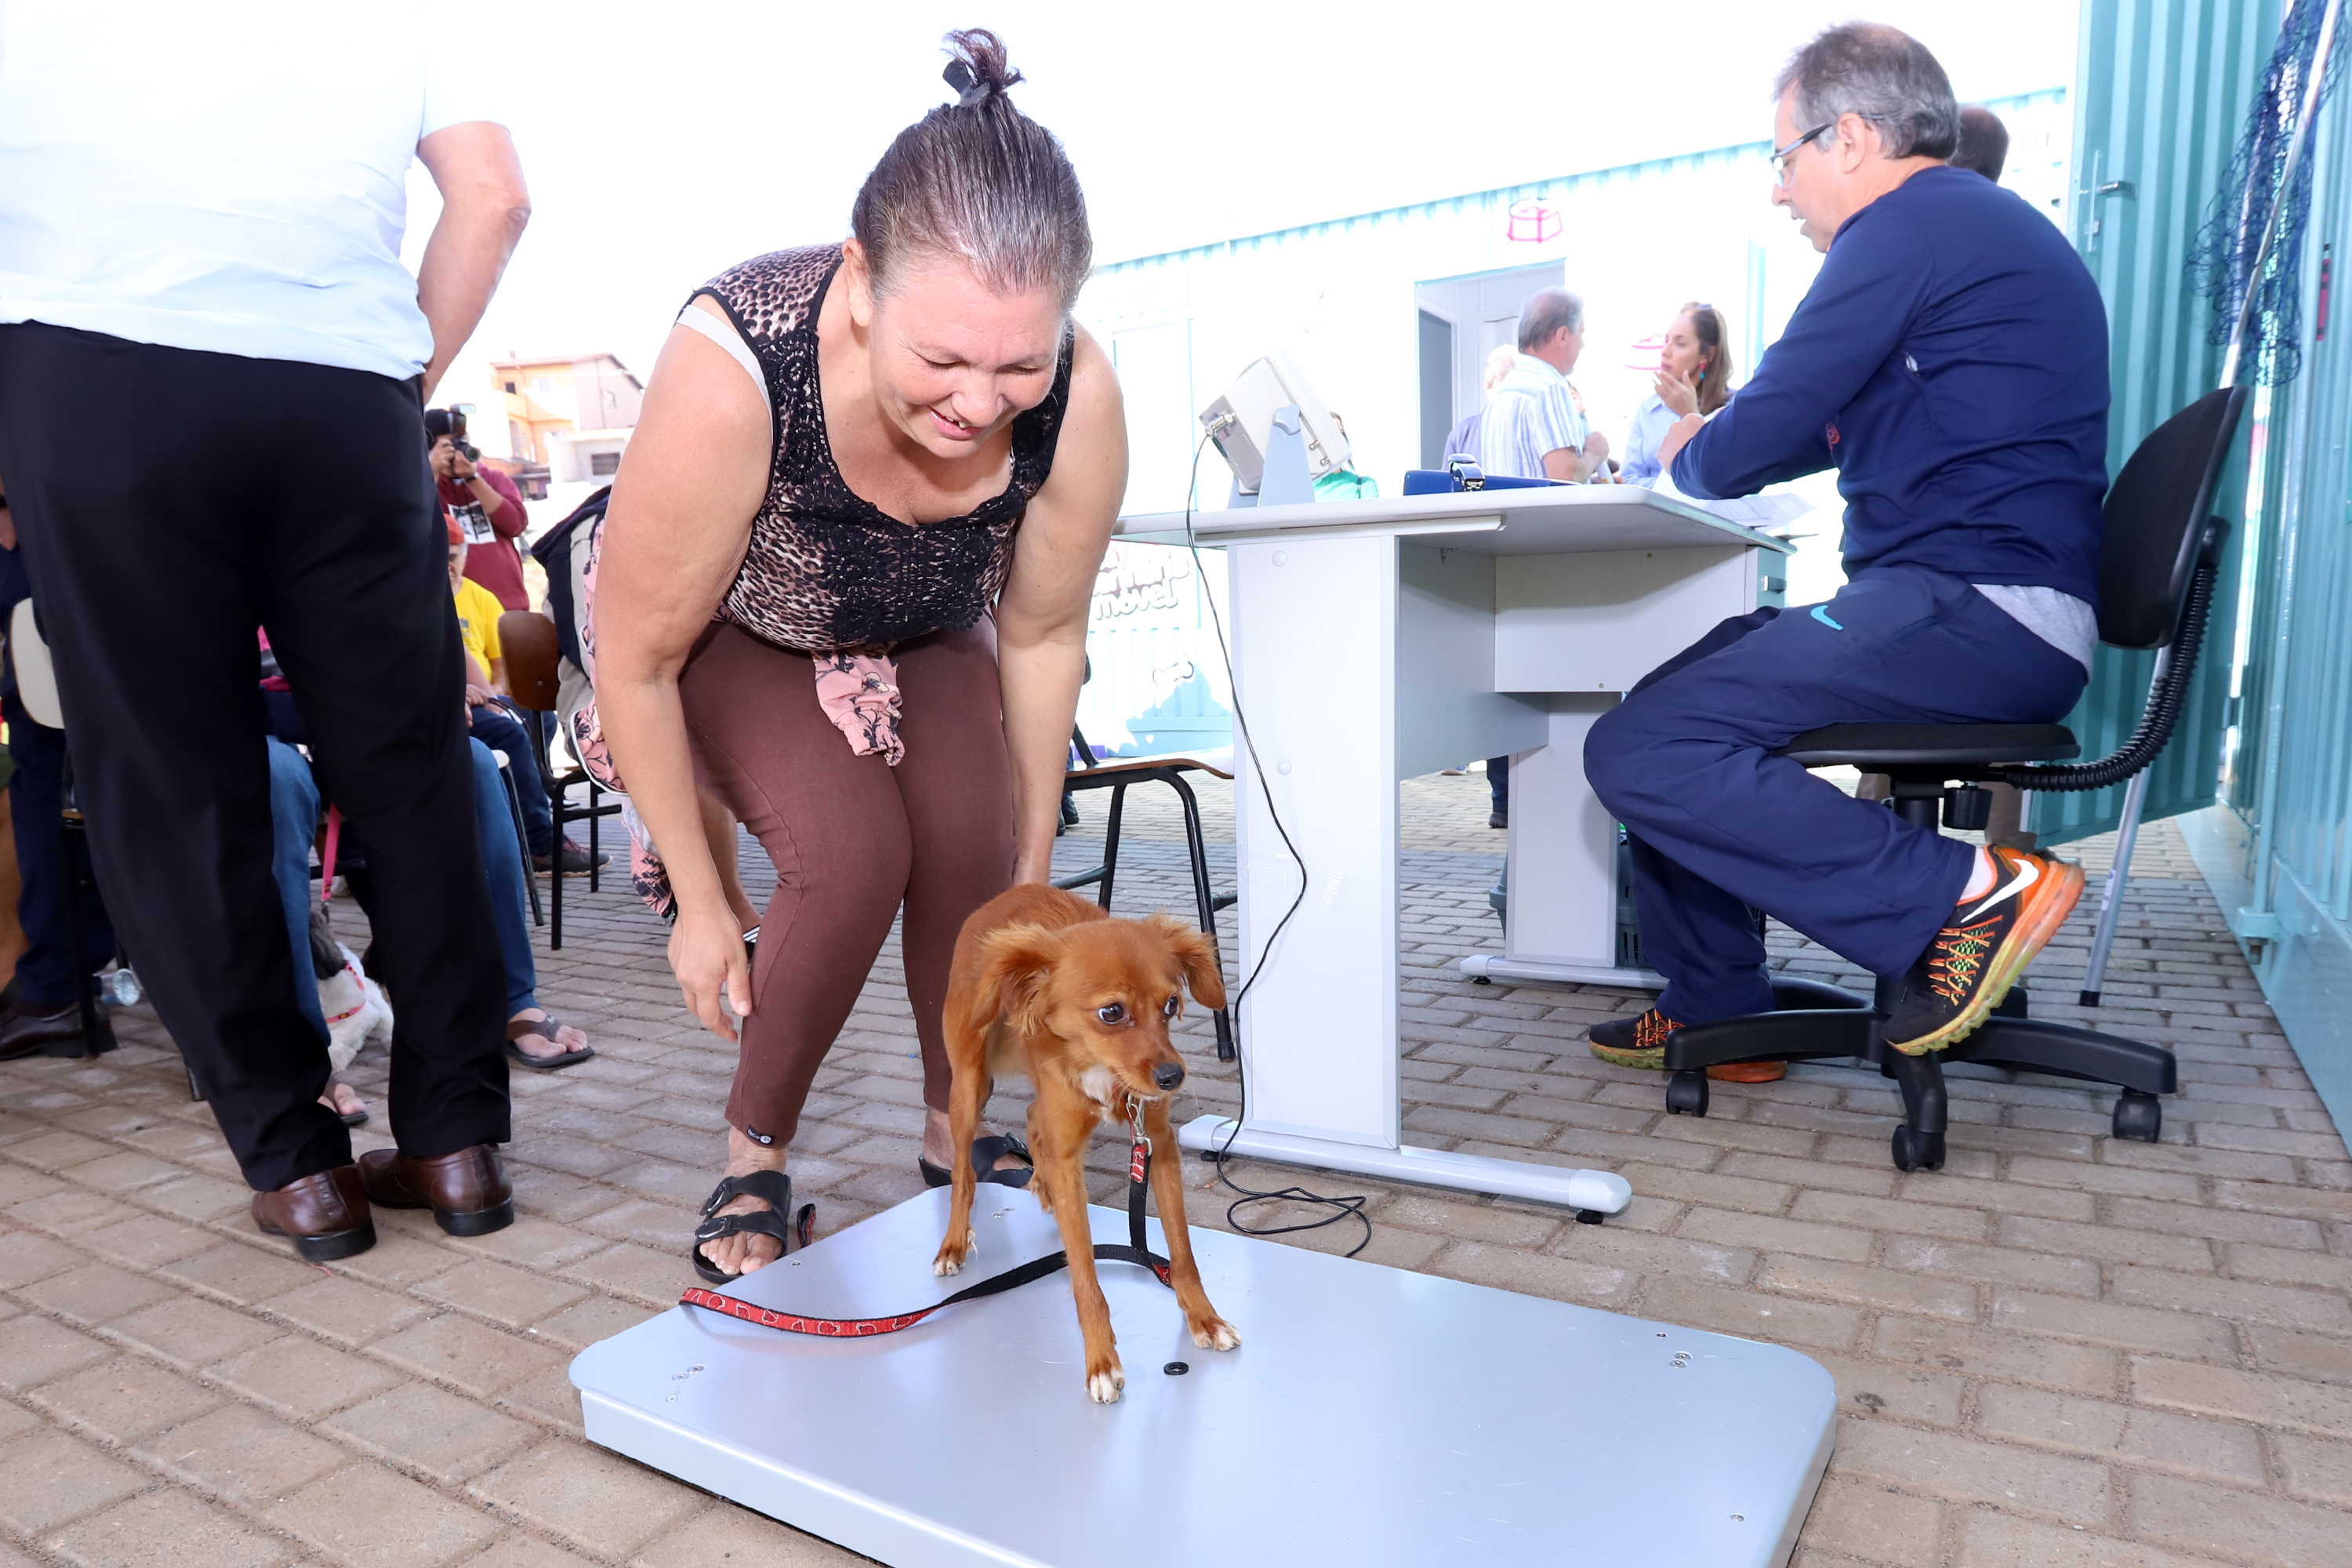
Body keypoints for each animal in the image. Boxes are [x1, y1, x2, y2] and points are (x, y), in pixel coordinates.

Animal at [936, 884, 1242, 1410]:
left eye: (1171, 1004)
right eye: (1111, 1012)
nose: (1172, 1077)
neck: (1097, 1064)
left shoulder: (1157, 1142)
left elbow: (1182, 1254)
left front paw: (1204, 1318)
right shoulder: (1068, 1158)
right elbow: (1084, 1275)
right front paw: (1101, 1362)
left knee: (1033, 1117)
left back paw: (1039, 1185)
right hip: (969, 1085)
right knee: (964, 1171)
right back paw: (955, 1241)